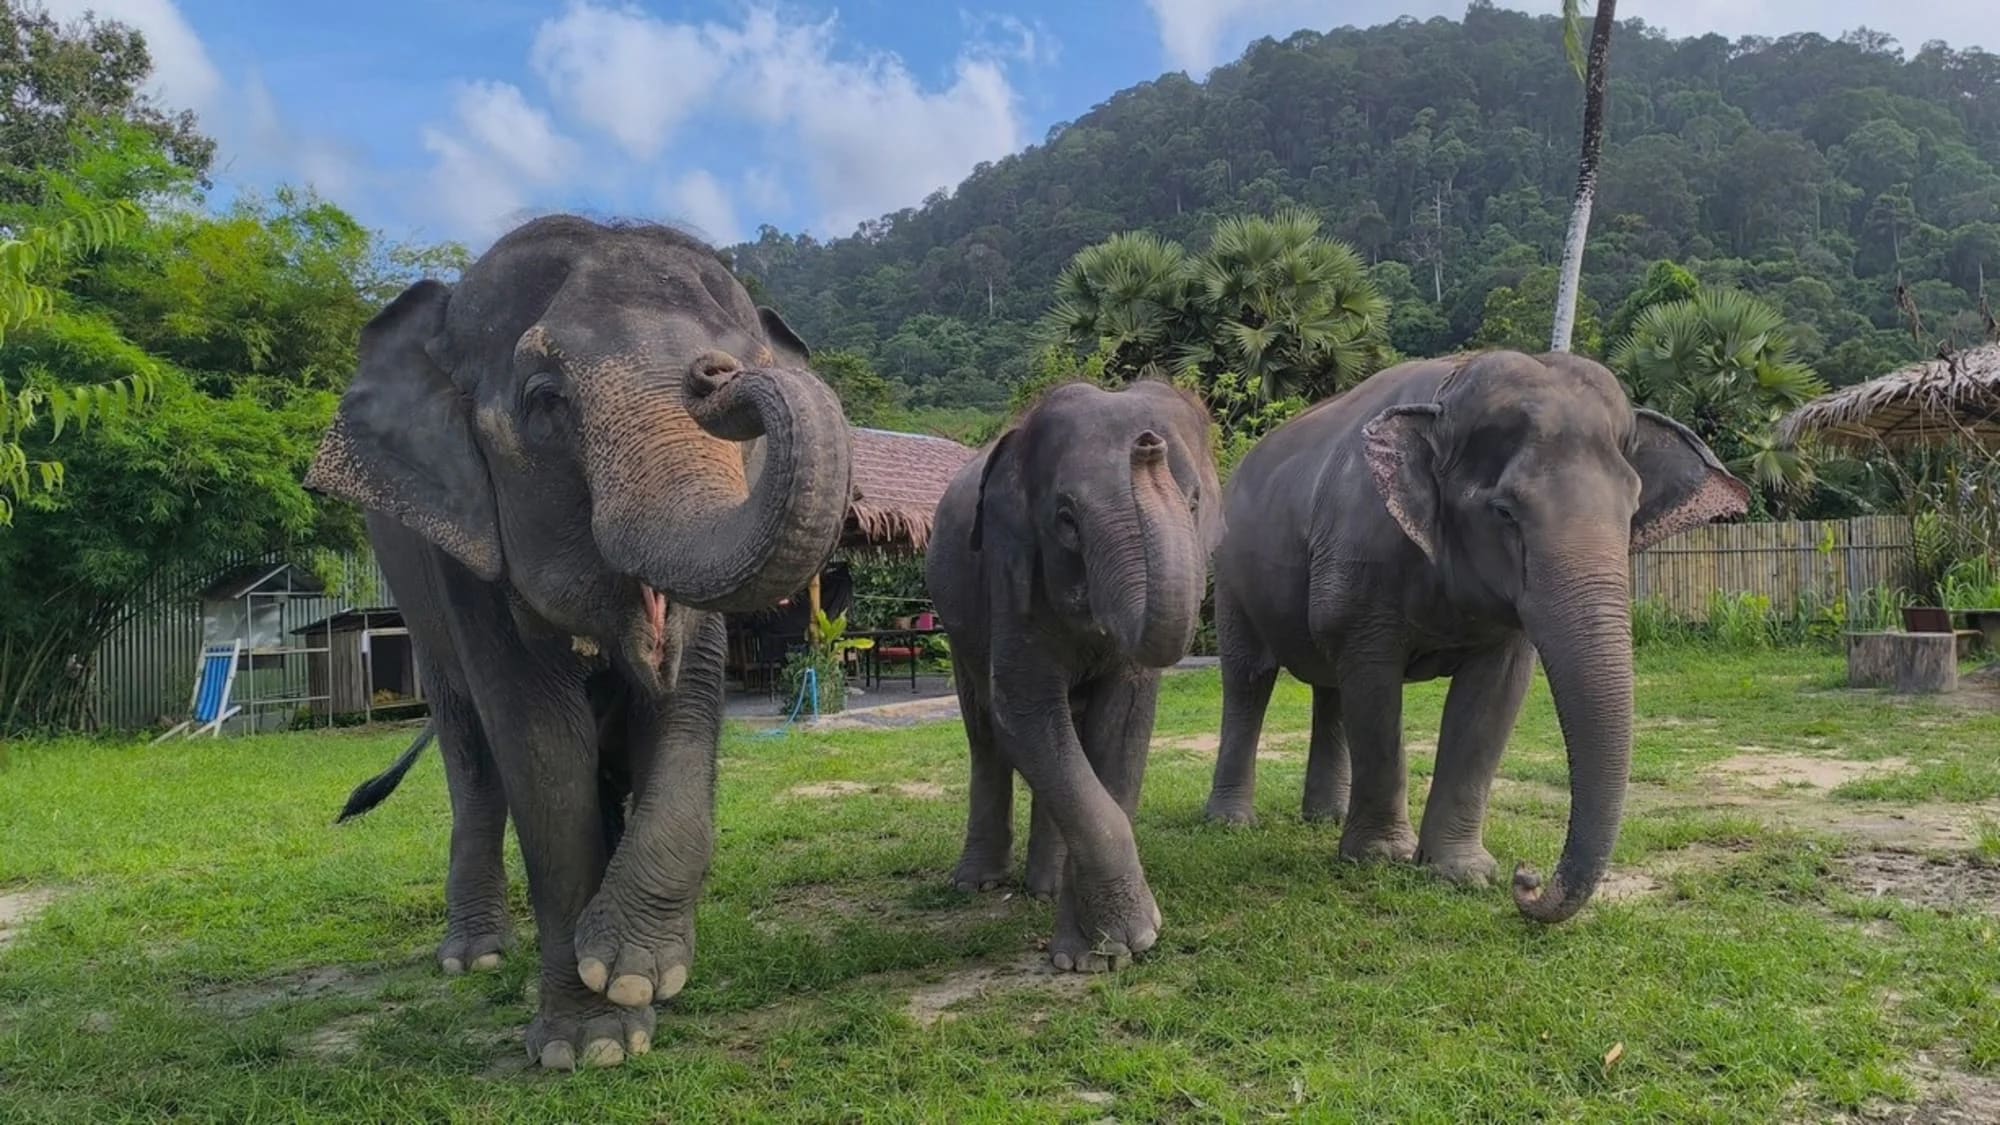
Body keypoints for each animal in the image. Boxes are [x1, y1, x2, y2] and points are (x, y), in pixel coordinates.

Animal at [302, 215, 853, 1068]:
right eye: (544, 400)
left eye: (749, 358)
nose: (716, 372)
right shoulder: (467, 545)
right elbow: (541, 746)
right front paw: (589, 1040)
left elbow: (686, 700)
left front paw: (636, 971)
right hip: (416, 599)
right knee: (471, 752)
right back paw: (476, 955)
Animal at [926, 379, 1223, 971]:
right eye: (1066, 520)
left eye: (1194, 501)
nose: (1147, 446)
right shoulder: (1009, 575)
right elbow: (1022, 714)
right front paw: (1120, 944)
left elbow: (1122, 728)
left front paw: (1098, 954)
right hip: (956, 623)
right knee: (985, 733)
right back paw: (976, 885)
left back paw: (1040, 890)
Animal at [1200, 350, 1749, 923]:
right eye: (1504, 511)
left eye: (1632, 509)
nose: (1526, 879)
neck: (1449, 388)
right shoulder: (1361, 559)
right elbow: (1374, 689)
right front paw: (1381, 859)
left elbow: (1491, 700)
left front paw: (1461, 874)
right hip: (1231, 575)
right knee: (1249, 679)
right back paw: (1232, 822)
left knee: (1329, 688)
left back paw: (1325, 818)